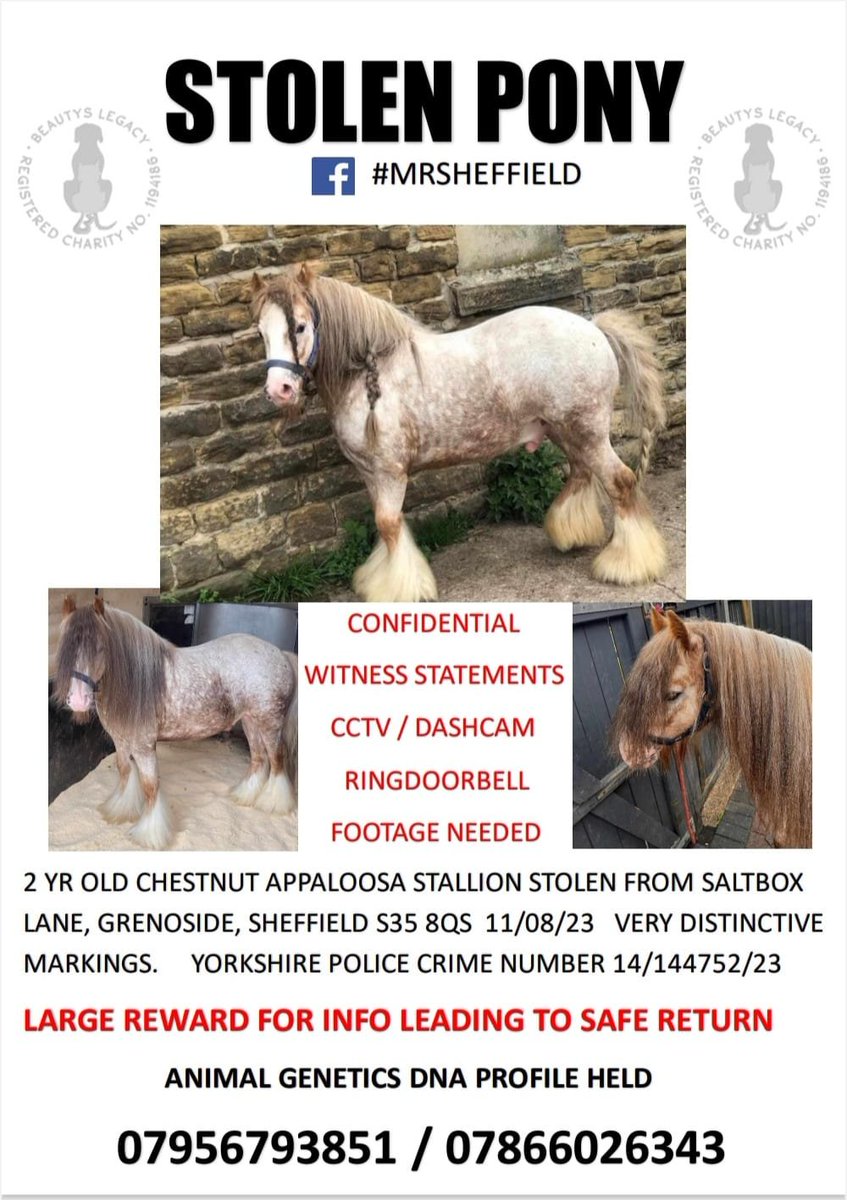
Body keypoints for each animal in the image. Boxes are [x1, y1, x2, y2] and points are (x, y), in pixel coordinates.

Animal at [53, 597, 298, 850]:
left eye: (101, 648)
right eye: (65, 648)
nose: (78, 700)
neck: (138, 682)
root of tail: (280, 654)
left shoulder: (144, 747)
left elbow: (150, 786)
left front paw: (149, 835)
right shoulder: (121, 743)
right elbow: (124, 772)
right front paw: (120, 811)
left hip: (270, 724)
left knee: (277, 760)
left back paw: (273, 804)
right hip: (251, 723)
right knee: (259, 759)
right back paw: (245, 796)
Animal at [251, 263, 669, 602]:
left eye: (300, 326)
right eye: (261, 332)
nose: (278, 390)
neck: (372, 372)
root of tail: (594, 328)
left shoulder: (389, 472)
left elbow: (388, 525)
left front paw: (400, 589)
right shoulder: (371, 474)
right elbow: (385, 526)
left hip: (587, 432)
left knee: (620, 481)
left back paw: (627, 565)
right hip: (565, 430)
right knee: (582, 473)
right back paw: (569, 533)